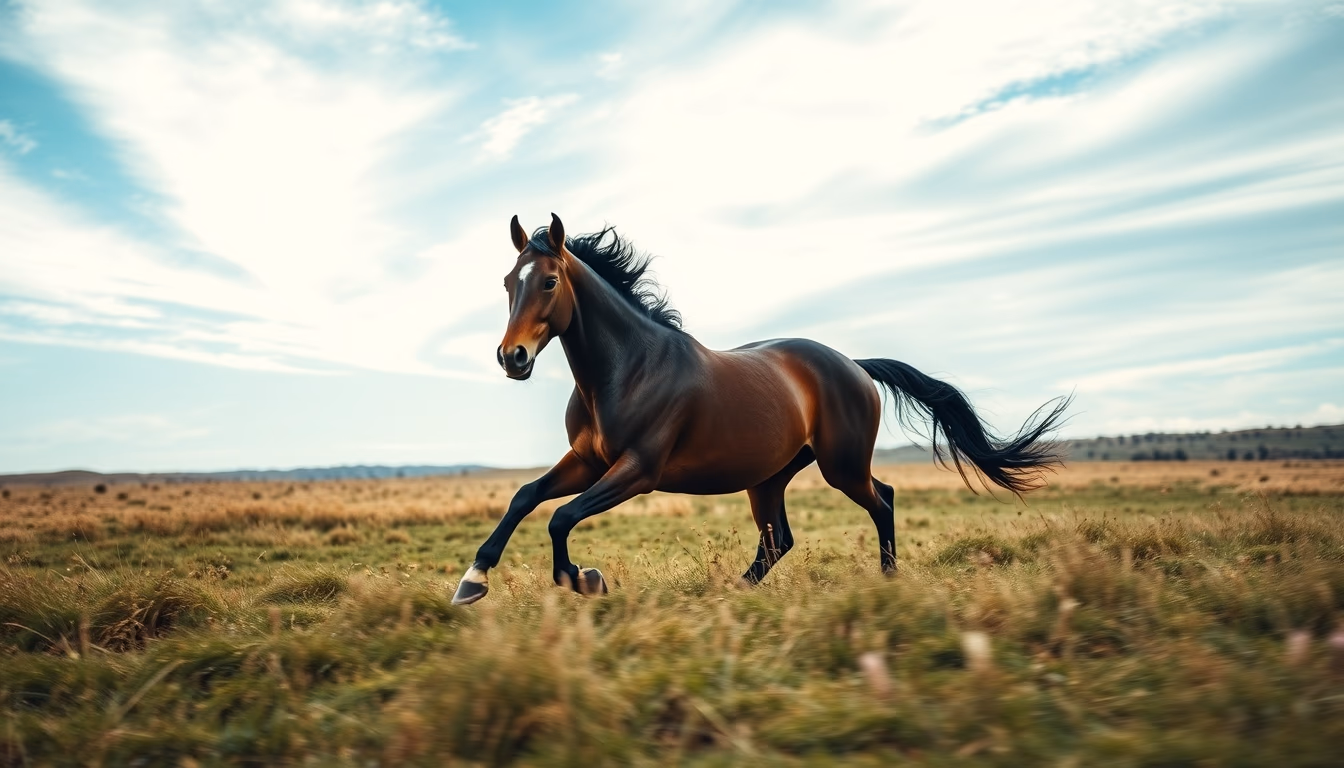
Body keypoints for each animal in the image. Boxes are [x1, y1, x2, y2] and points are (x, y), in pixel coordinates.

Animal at [452, 213, 1068, 605]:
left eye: (549, 281)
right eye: (508, 282)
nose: (512, 358)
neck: (627, 368)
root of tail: (854, 365)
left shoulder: (637, 470)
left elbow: (560, 516)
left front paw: (584, 579)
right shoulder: (587, 461)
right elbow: (525, 497)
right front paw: (473, 580)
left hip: (841, 466)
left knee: (884, 500)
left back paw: (888, 582)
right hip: (768, 476)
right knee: (780, 540)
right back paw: (732, 592)